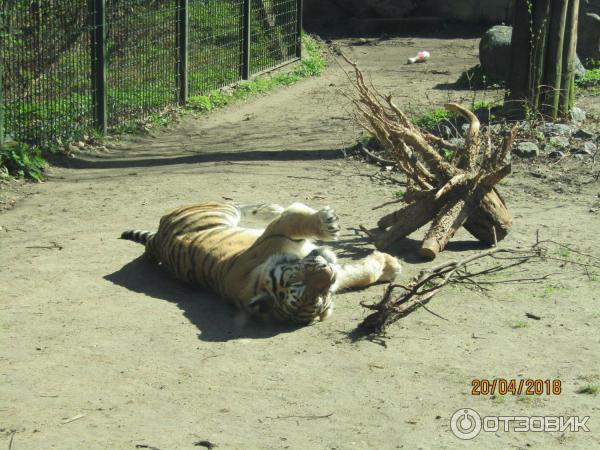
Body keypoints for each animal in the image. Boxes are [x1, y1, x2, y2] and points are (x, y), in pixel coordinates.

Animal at [120, 202, 404, 326]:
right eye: (298, 282)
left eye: (322, 294)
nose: (327, 271)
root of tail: (157, 239)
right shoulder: (277, 234)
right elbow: (296, 216)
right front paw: (327, 221)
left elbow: (358, 274)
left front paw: (389, 265)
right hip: (221, 209)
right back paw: (273, 207)